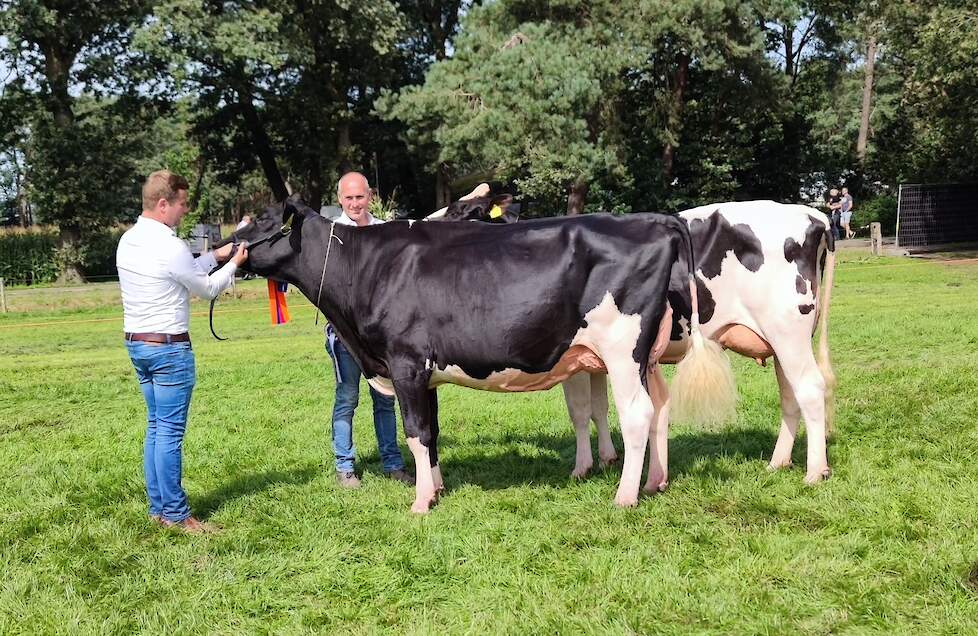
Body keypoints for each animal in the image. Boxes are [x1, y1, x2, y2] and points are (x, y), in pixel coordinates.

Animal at [231, 199, 732, 512]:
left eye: (261, 220)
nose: (224, 250)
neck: (367, 268)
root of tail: (654, 222)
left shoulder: (405, 363)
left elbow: (415, 432)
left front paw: (420, 503)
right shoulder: (423, 373)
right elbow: (431, 432)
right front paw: (436, 488)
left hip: (622, 350)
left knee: (636, 413)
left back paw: (626, 496)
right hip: (646, 355)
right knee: (660, 407)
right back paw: (655, 481)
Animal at [430, 199, 836, 486]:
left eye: (463, 212)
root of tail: (812, 214)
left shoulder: (576, 358)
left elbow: (580, 410)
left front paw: (583, 467)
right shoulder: (591, 359)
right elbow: (596, 409)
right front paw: (606, 459)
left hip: (787, 331)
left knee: (810, 389)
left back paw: (814, 471)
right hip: (783, 341)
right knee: (791, 395)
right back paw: (778, 462)